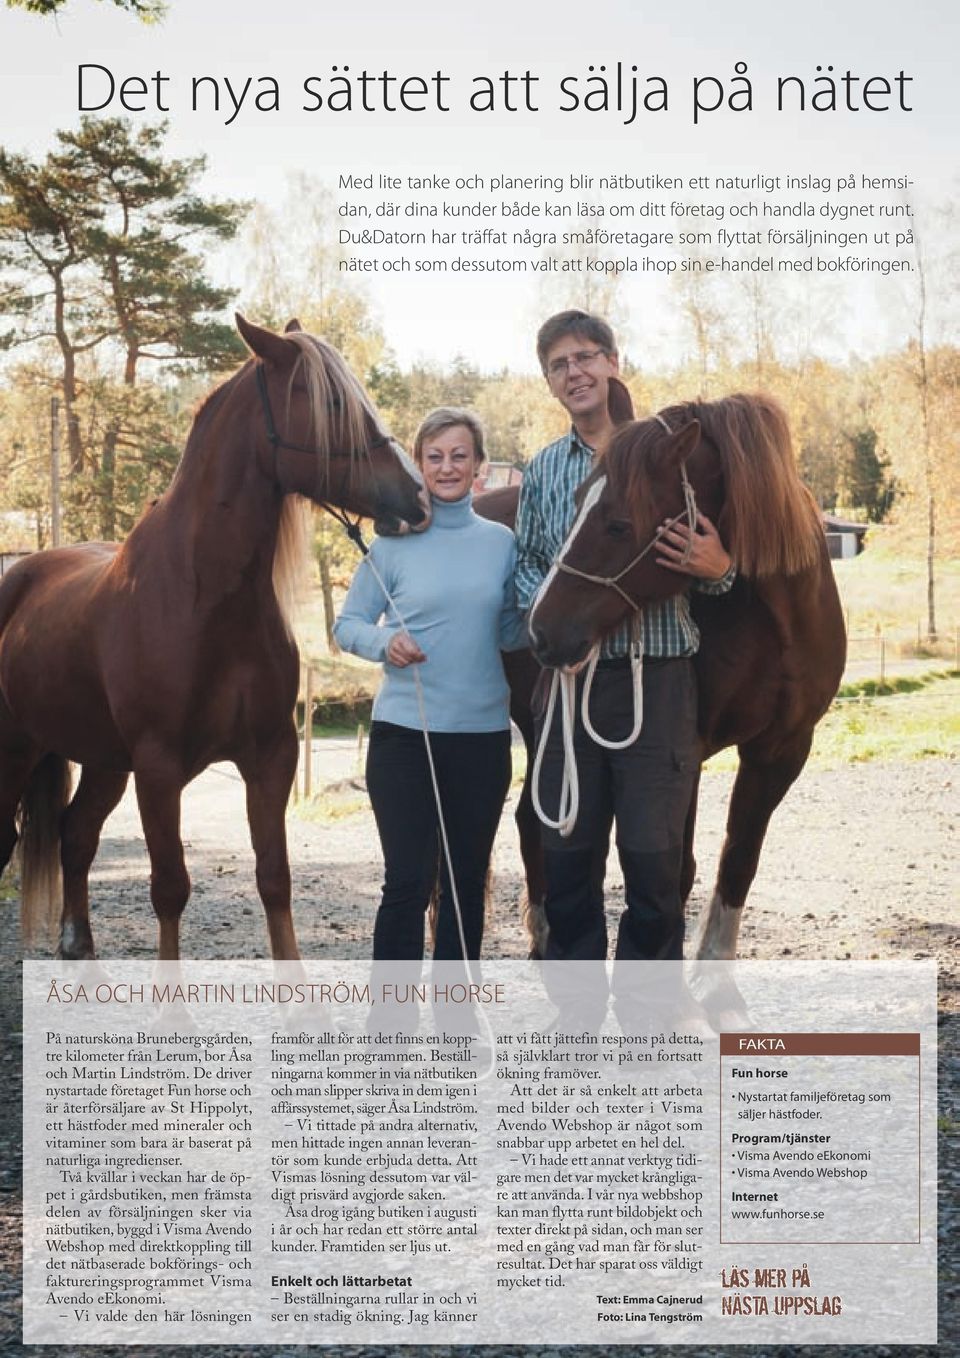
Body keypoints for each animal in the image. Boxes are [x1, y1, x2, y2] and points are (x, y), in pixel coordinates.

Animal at [0, 313, 429, 961]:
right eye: (332, 403)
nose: (418, 497)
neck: (205, 598)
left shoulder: (271, 756)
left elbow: (274, 879)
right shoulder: (158, 768)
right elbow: (170, 889)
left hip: (104, 761)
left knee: (76, 835)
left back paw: (78, 946)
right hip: (20, 749)